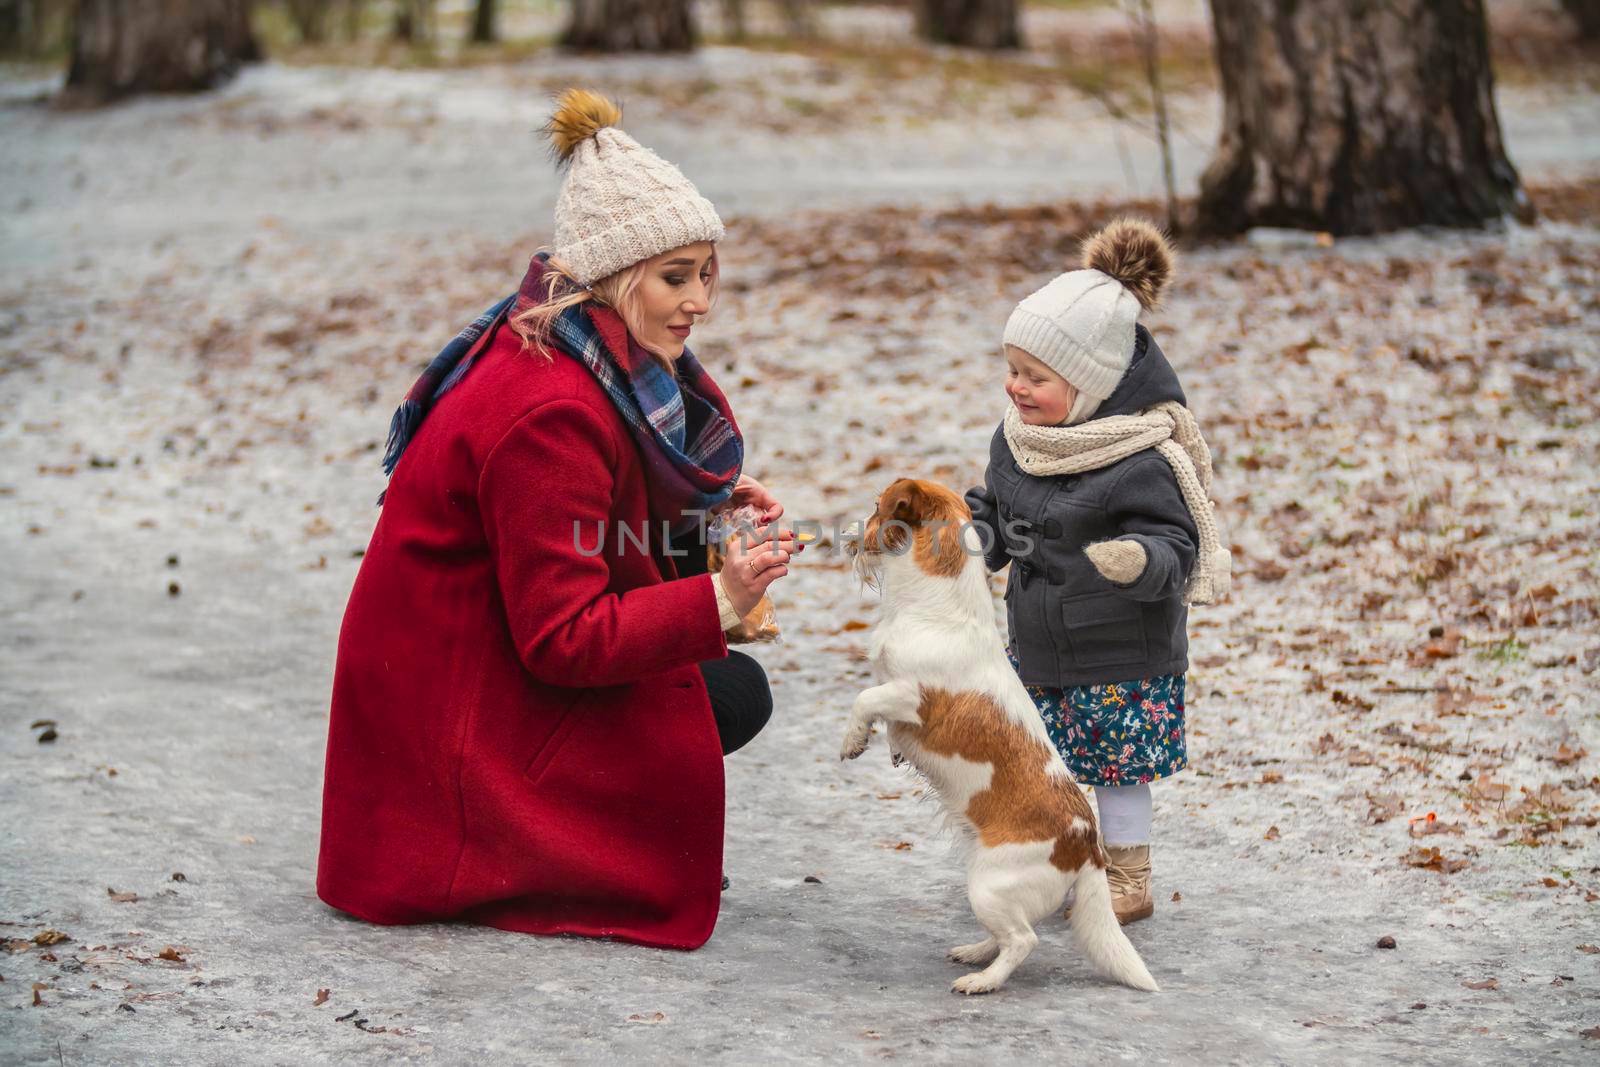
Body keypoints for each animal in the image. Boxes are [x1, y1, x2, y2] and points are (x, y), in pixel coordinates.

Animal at [844, 479, 1158, 998]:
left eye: (876, 509)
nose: (848, 533)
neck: (935, 609)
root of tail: (1087, 847)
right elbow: (879, 714)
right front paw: (886, 746)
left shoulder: (910, 695)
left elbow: (865, 699)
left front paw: (852, 739)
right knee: (1006, 934)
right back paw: (975, 952)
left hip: (988, 886)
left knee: (1023, 940)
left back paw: (983, 980)